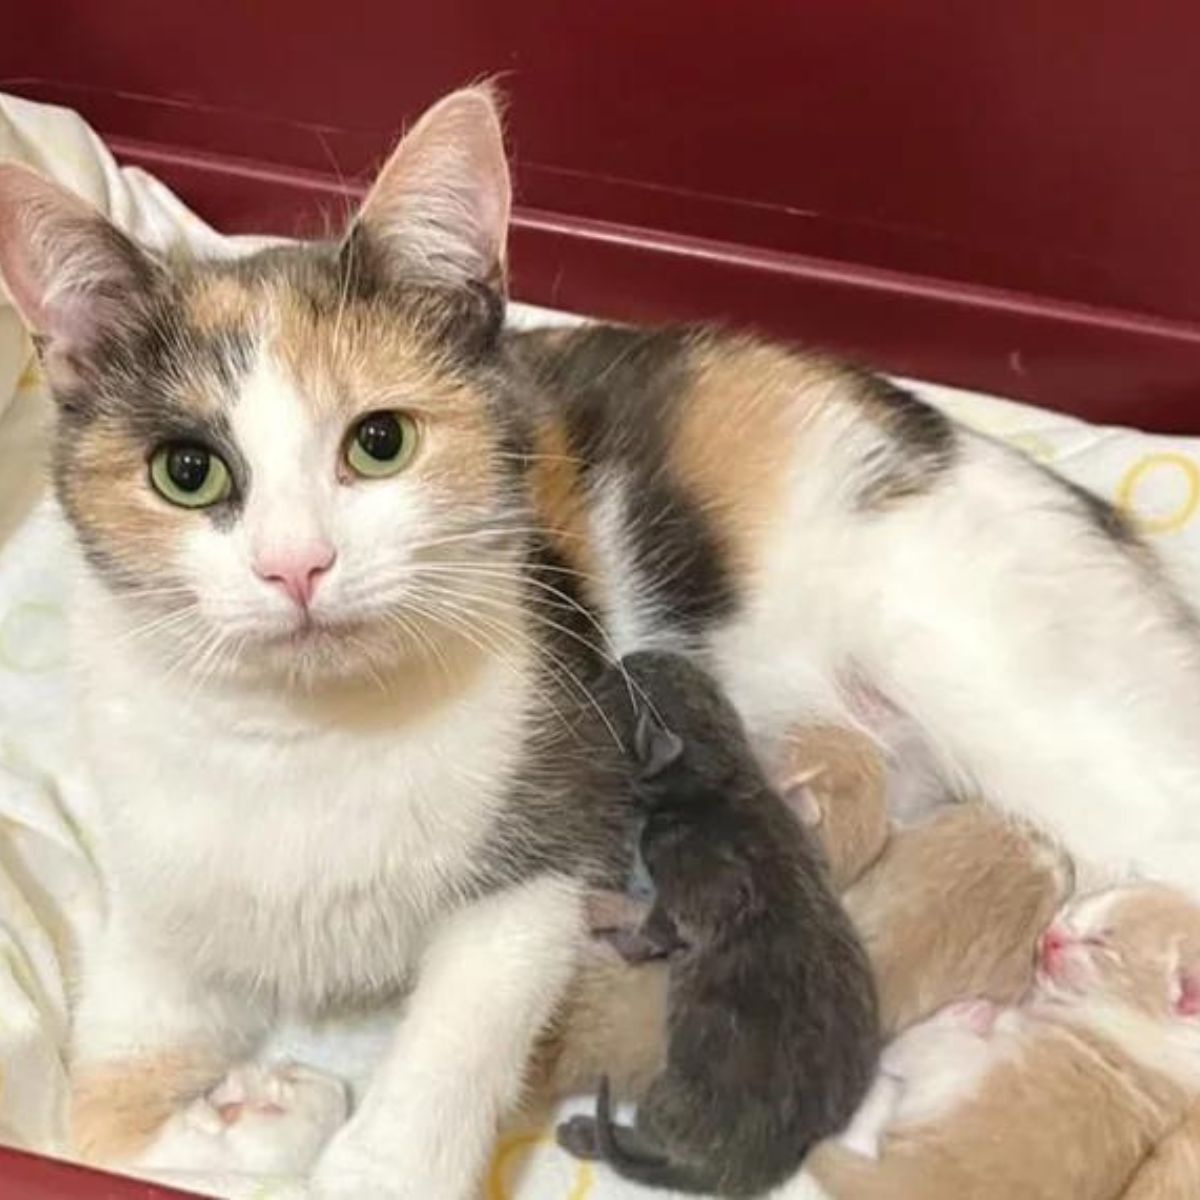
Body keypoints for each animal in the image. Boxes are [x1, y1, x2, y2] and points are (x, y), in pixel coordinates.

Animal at [554, 652, 883, 1195]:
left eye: (617, 684)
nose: (615, 660)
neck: (724, 773)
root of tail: (756, 1169)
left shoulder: (694, 889)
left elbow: (654, 929)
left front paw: (612, 927)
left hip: (668, 1097)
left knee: (647, 1140)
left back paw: (582, 1132)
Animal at [806, 883, 1200, 1200]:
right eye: (1074, 910)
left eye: (1100, 941)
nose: (1050, 936)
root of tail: (919, 1181)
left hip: (957, 1066)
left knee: (899, 1052)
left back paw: (964, 1015)